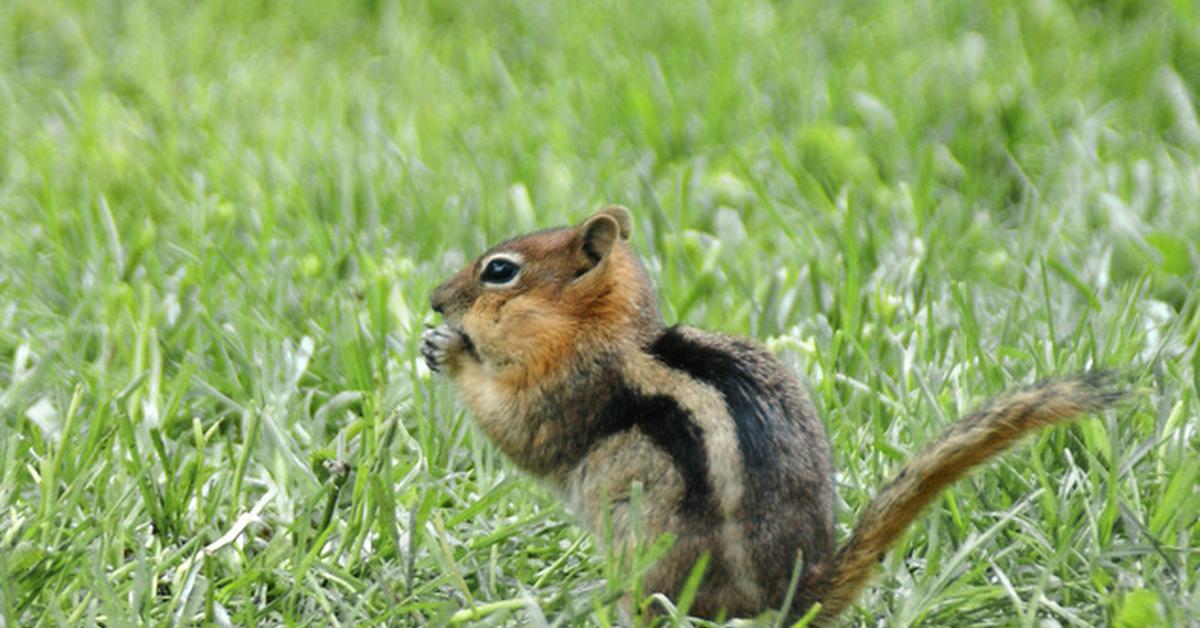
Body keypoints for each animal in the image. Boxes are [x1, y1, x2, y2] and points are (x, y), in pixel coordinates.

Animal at [420, 206, 1123, 624]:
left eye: (499, 271)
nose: (434, 300)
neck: (608, 335)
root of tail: (796, 593)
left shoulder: (567, 390)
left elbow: (518, 431)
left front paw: (450, 351)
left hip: (643, 544)